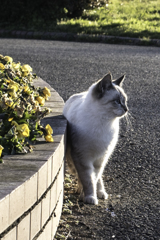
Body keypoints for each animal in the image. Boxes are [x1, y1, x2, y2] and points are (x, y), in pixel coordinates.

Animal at [63, 72, 128, 204]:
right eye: (117, 101)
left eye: (125, 101)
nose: (126, 109)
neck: (104, 123)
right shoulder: (82, 158)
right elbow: (87, 180)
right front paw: (89, 197)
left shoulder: (100, 159)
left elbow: (94, 178)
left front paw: (88, 195)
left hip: (103, 159)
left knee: (98, 178)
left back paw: (101, 193)